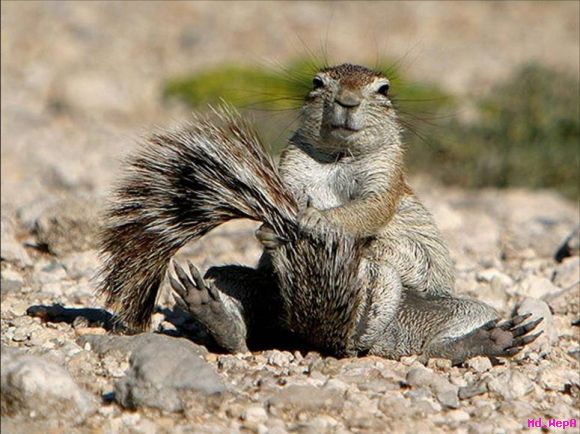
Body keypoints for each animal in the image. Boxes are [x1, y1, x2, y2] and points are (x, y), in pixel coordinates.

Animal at [98, 64, 540, 362]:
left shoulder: (387, 176)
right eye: (317, 83)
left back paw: (489, 340)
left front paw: (314, 221)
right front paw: (271, 227)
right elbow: (286, 196)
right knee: (241, 322)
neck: (337, 158)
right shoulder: (291, 167)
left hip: (454, 312)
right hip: (246, 286)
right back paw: (214, 314)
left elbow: (367, 210)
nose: (347, 101)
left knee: (435, 346)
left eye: (384, 88)